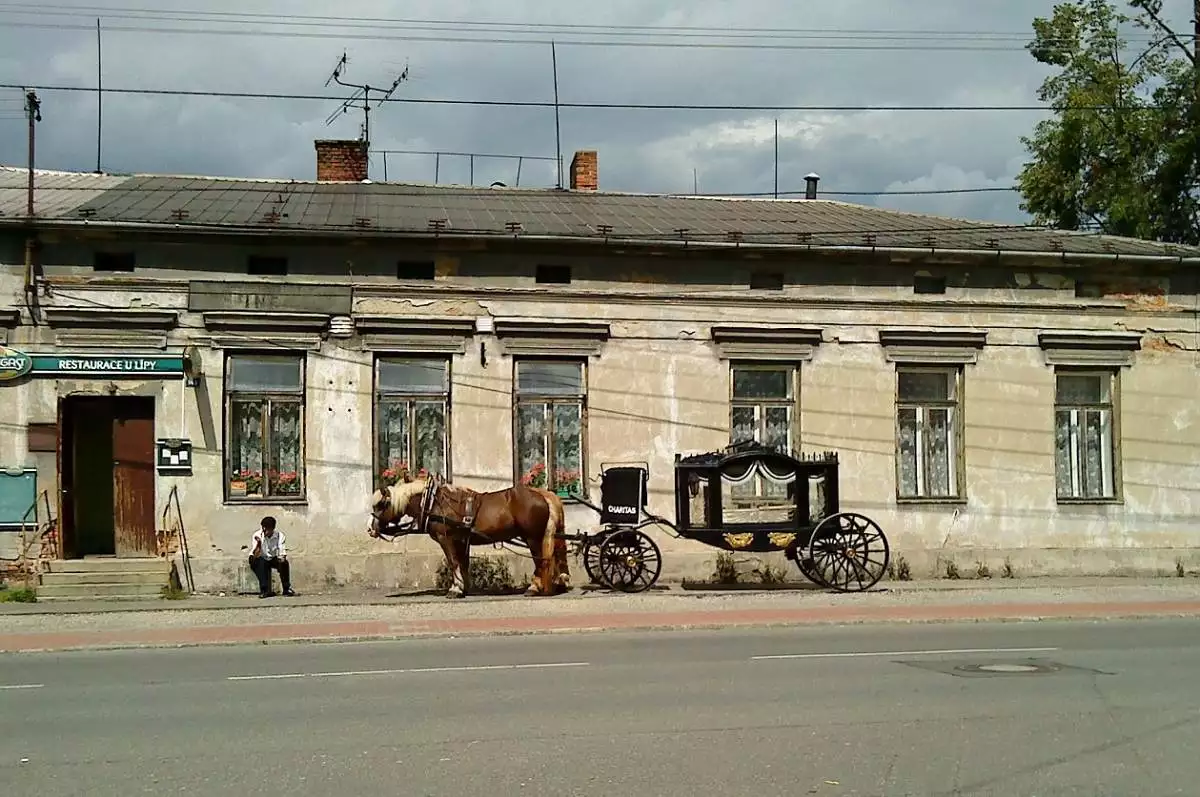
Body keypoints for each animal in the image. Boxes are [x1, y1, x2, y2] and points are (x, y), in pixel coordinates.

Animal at [367, 475, 568, 600]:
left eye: (381, 504)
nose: (370, 528)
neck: (434, 503)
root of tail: (543, 494)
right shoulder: (462, 540)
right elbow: (463, 563)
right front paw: (464, 588)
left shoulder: (446, 538)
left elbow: (453, 562)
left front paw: (455, 589)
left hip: (532, 537)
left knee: (541, 561)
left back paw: (534, 588)